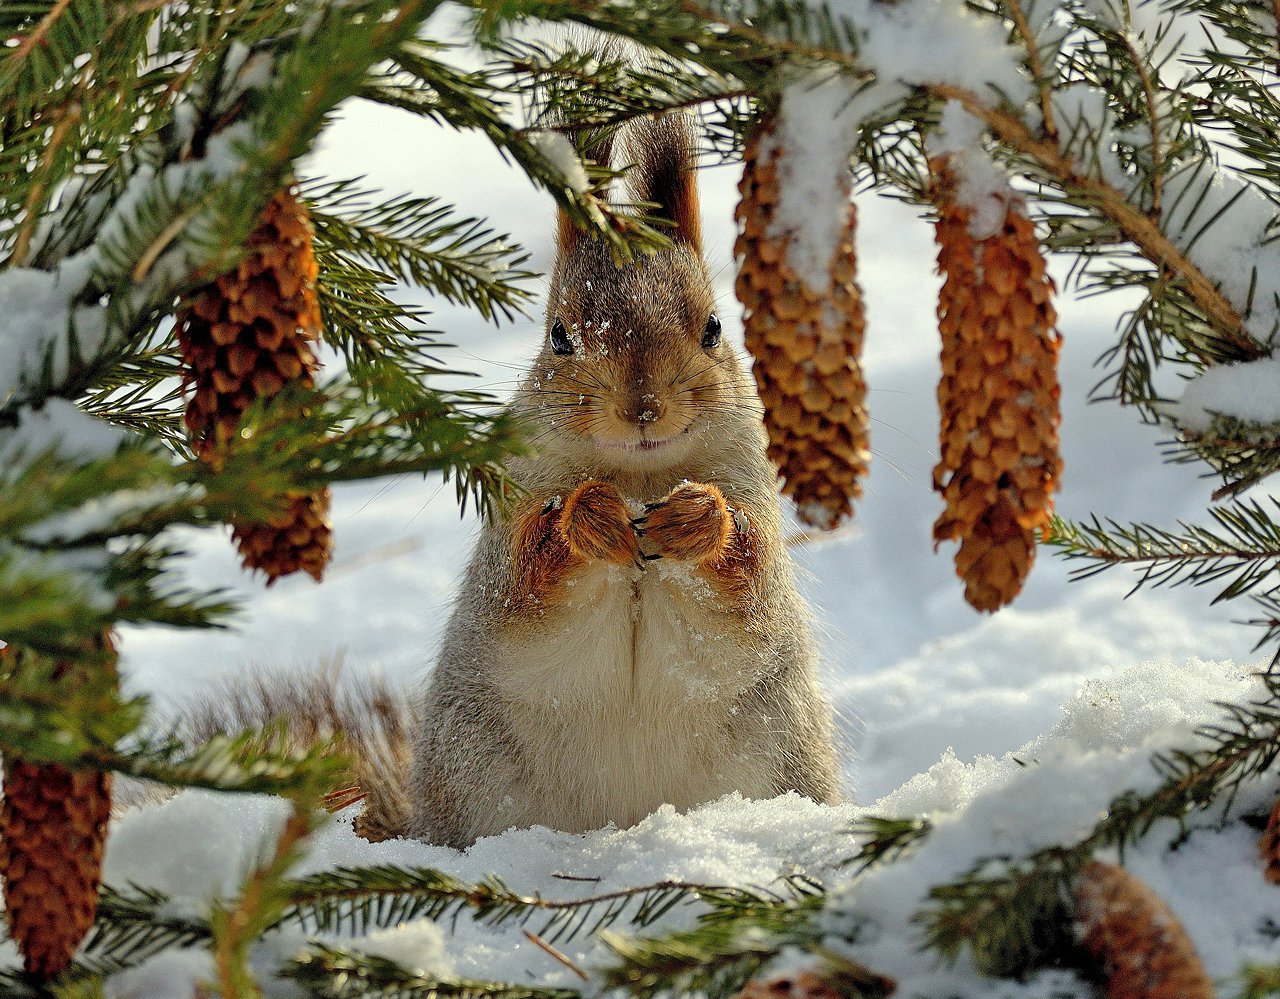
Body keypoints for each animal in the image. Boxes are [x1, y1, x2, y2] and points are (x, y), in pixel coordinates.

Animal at [165, 109, 839, 845]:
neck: (638, 476)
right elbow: (521, 579)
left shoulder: (754, 492)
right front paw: (586, 520)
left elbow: (752, 577)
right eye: (559, 336)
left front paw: (699, 519)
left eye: (715, 327)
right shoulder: (512, 502)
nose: (642, 408)